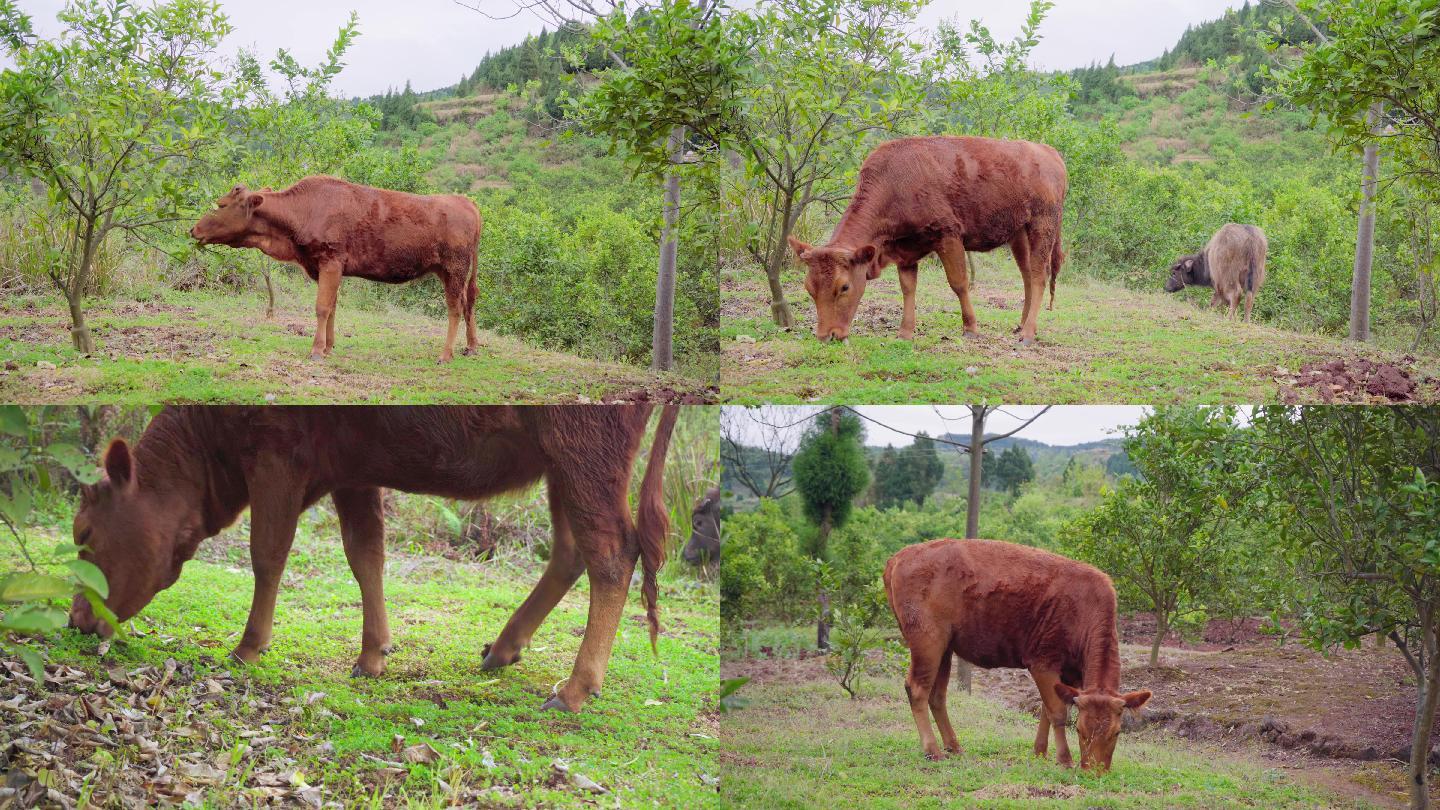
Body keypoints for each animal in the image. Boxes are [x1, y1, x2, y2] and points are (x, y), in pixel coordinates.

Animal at [73, 400, 685, 706]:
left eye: (84, 533)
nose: (78, 620)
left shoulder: (276, 458)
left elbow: (267, 551)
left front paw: (248, 646)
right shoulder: (352, 472)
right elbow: (365, 554)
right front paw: (373, 654)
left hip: (584, 459)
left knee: (612, 552)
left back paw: (576, 688)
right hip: (562, 467)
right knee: (570, 551)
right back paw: (502, 649)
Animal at [188, 180, 483, 366]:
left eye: (221, 205)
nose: (194, 229)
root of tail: (465, 201)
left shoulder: (330, 262)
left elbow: (321, 307)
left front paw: (317, 350)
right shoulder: (326, 268)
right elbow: (332, 307)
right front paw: (329, 347)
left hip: (454, 268)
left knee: (455, 309)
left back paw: (445, 355)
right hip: (450, 272)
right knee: (468, 304)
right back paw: (471, 347)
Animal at [789, 135, 1071, 343]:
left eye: (844, 287)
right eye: (809, 288)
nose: (827, 336)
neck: (895, 183)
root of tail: (1048, 152)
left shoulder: (948, 235)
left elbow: (959, 283)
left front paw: (970, 328)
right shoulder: (904, 250)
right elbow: (907, 287)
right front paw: (905, 332)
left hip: (1043, 225)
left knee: (1039, 276)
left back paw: (1028, 334)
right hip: (1019, 234)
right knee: (1027, 276)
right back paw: (1021, 325)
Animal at [875, 539, 1146, 766]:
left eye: (1116, 732)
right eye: (1080, 730)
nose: (1094, 771)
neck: (1085, 607)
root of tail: (900, 556)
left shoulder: (1071, 675)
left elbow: (1048, 710)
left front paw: (1040, 752)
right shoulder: (1042, 662)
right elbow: (1057, 712)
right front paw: (1064, 759)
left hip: (945, 647)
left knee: (937, 695)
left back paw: (954, 746)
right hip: (927, 641)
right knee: (917, 689)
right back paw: (932, 750)